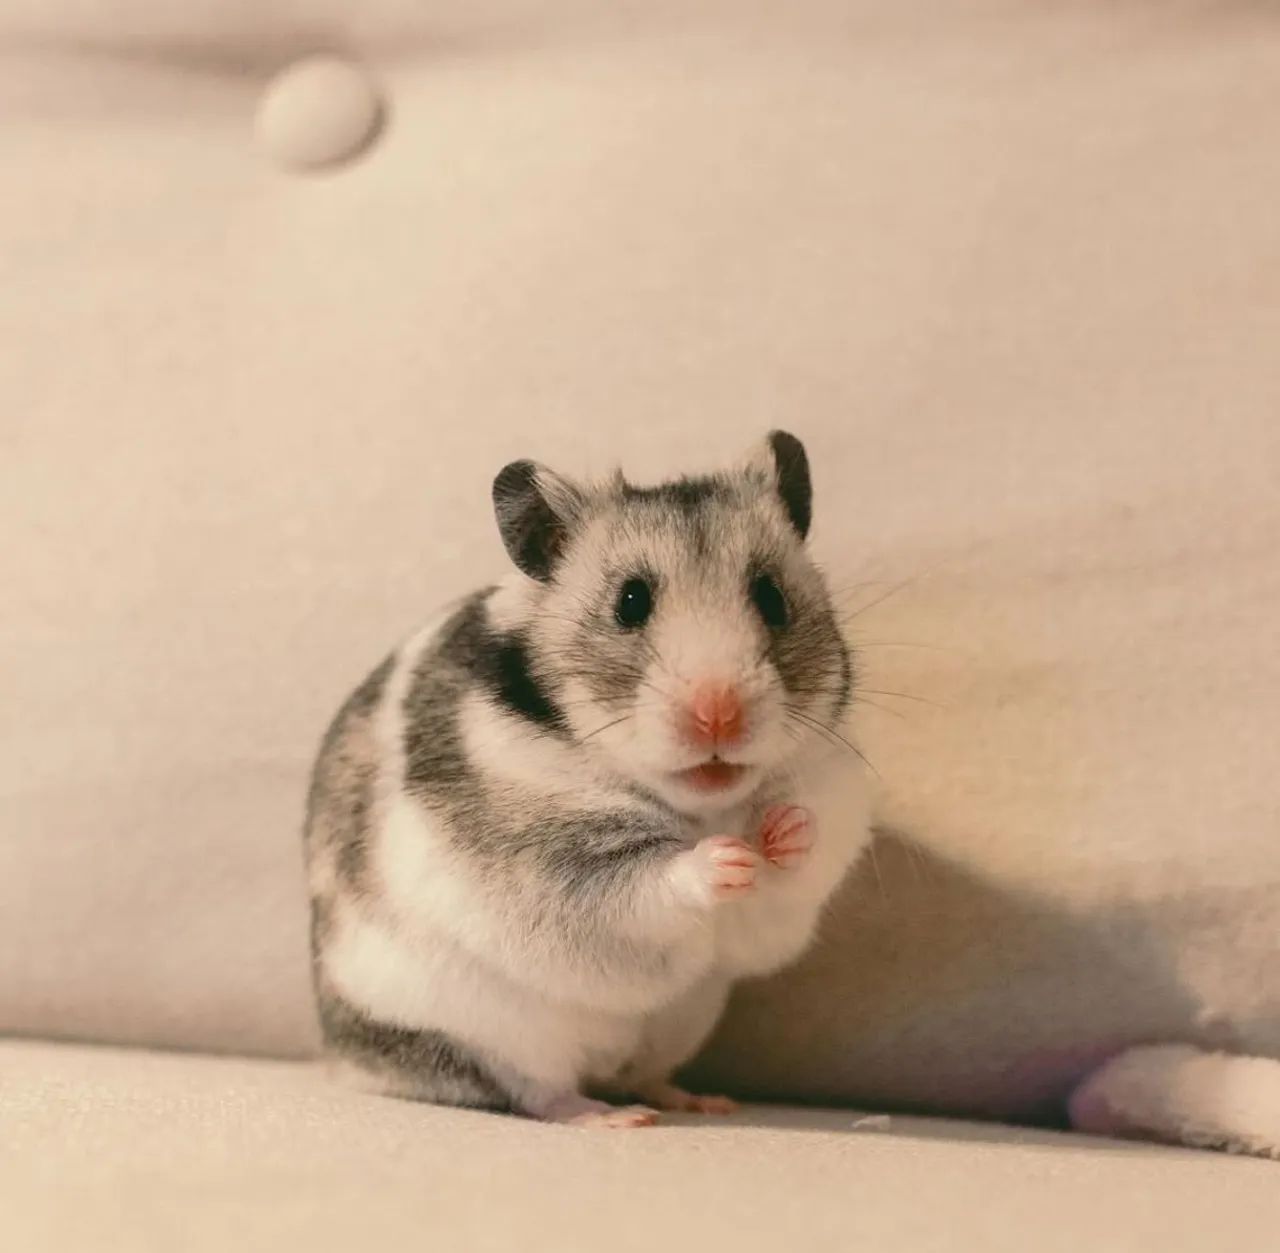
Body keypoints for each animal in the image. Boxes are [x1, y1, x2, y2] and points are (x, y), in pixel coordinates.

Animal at [303, 431, 872, 1127]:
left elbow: (801, 860)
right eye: (630, 602)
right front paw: (726, 859)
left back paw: (701, 1101)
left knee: (642, 1074)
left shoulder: (824, 811)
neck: (701, 805)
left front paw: (781, 832)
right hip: (490, 1035)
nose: (719, 715)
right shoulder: (564, 870)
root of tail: (342, 1058)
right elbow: (653, 882)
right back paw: (613, 1117)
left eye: (771, 597)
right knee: (538, 1092)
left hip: (680, 1022)